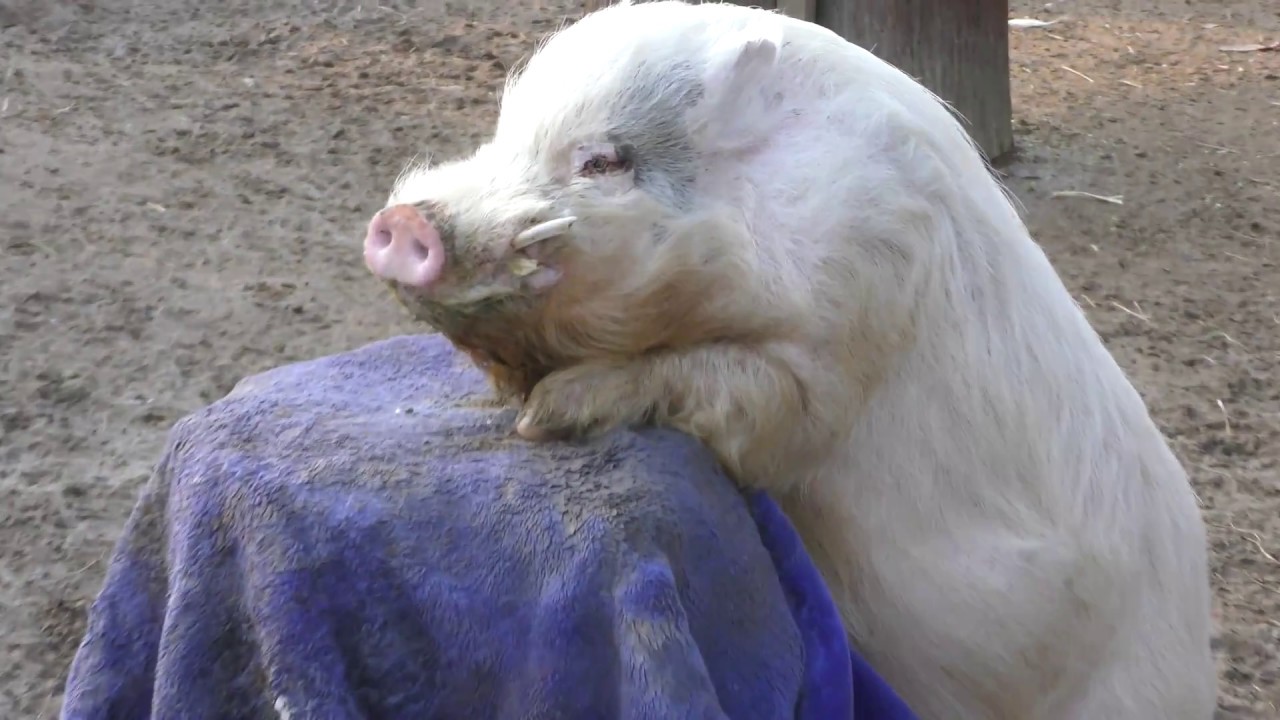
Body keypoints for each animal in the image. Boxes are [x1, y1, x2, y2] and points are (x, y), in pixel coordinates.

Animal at [361, 2, 1217, 718]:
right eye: (503, 133)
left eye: (603, 161)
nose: (402, 223)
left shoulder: (843, 344)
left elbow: (746, 406)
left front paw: (544, 417)